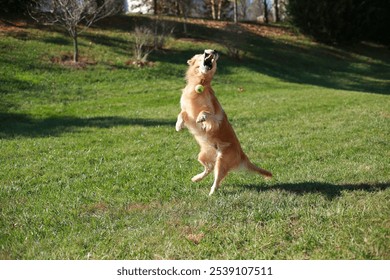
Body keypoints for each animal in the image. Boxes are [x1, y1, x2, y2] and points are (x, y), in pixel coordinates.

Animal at [176, 49, 272, 195]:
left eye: (213, 54)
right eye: (203, 53)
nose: (213, 51)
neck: (200, 83)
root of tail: (242, 155)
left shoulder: (215, 116)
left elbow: (205, 113)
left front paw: (201, 119)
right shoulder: (187, 109)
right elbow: (182, 113)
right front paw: (179, 125)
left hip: (221, 161)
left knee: (217, 179)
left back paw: (211, 193)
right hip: (203, 156)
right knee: (209, 168)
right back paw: (197, 178)